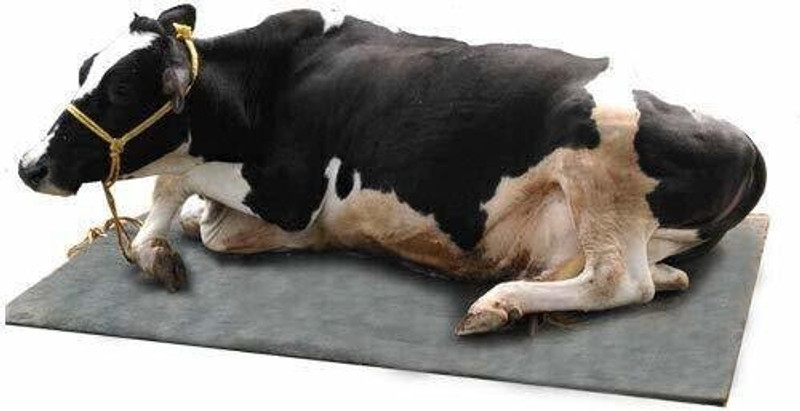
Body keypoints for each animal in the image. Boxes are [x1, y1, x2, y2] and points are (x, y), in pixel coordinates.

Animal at [18, 5, 766, 336]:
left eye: (119, 90)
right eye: (82, 71)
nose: (29, 165)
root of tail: (747, 143)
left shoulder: (291, 191)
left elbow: (197, 207)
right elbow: (177, 196)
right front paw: (157, 247)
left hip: (602, 154)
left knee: (620, 280)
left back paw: (498, 302)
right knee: (651, 275)